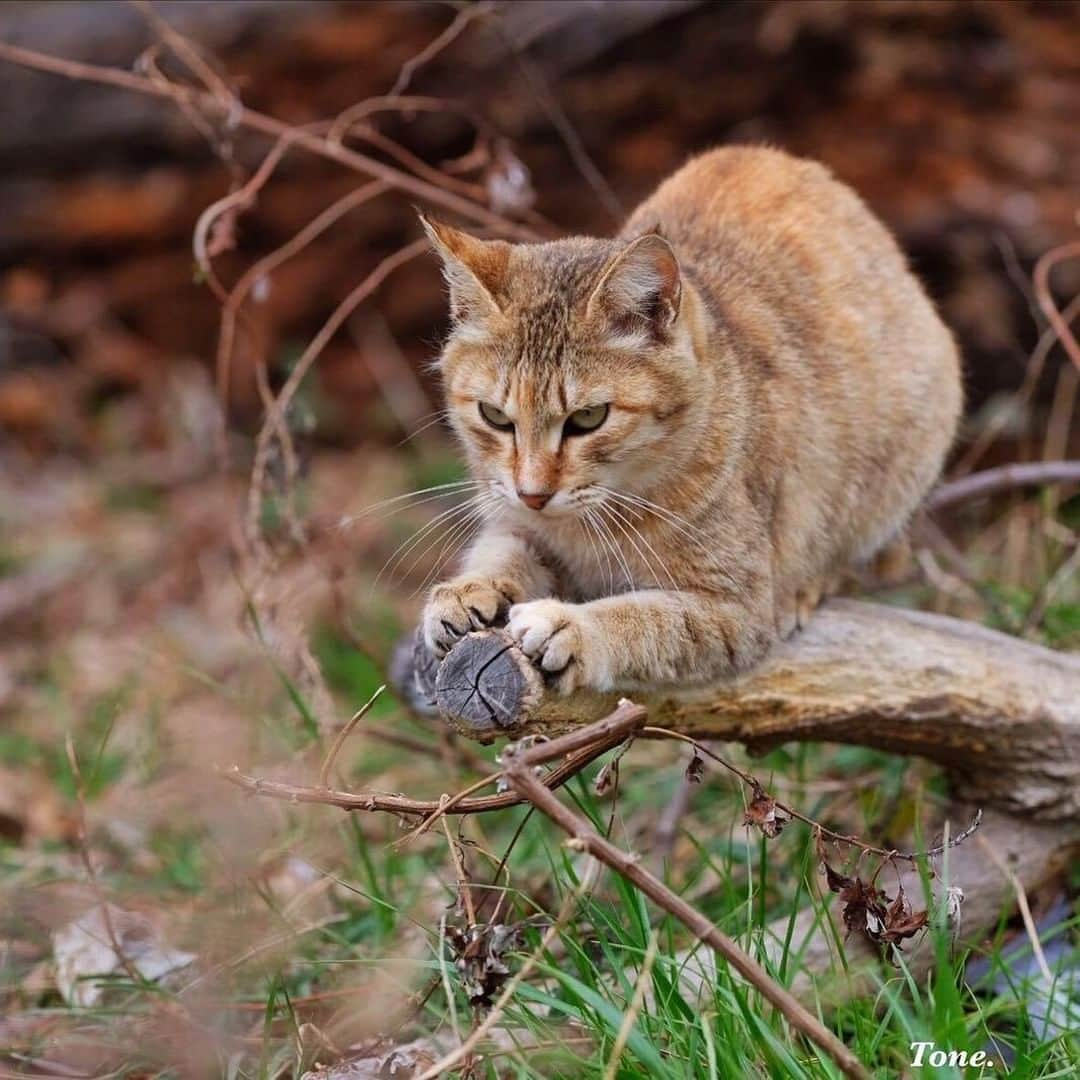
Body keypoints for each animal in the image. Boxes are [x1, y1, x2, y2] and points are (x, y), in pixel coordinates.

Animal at [414, 145, 963, 691]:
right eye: (493, 416)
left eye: (589, 417)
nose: (534, 494)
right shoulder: (512, 516)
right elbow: (501, 547)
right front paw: (469, 589)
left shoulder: (738, 612)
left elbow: (648, 619)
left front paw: (572, 627)